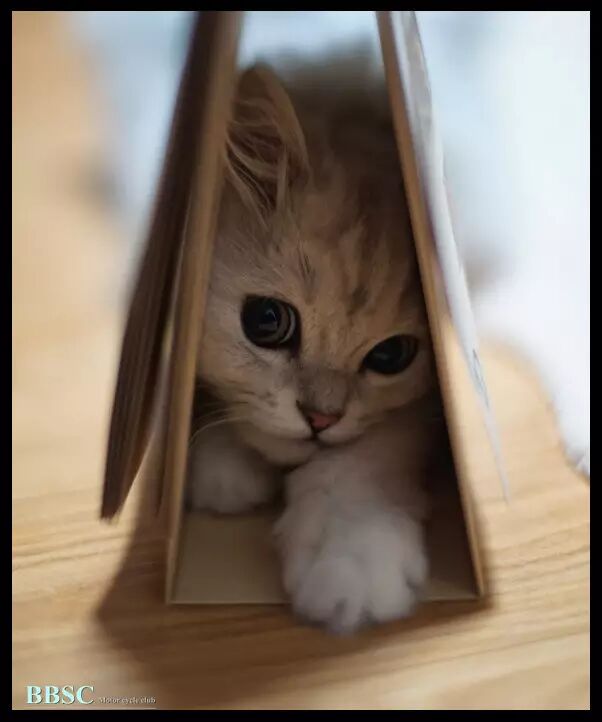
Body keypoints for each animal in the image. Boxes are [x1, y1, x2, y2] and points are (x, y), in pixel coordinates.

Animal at [186, 63, 440, 632]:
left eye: (391, 356)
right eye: (267, 321)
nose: (319, 418)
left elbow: (354, 466)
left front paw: (351, 568)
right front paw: (222, 471)